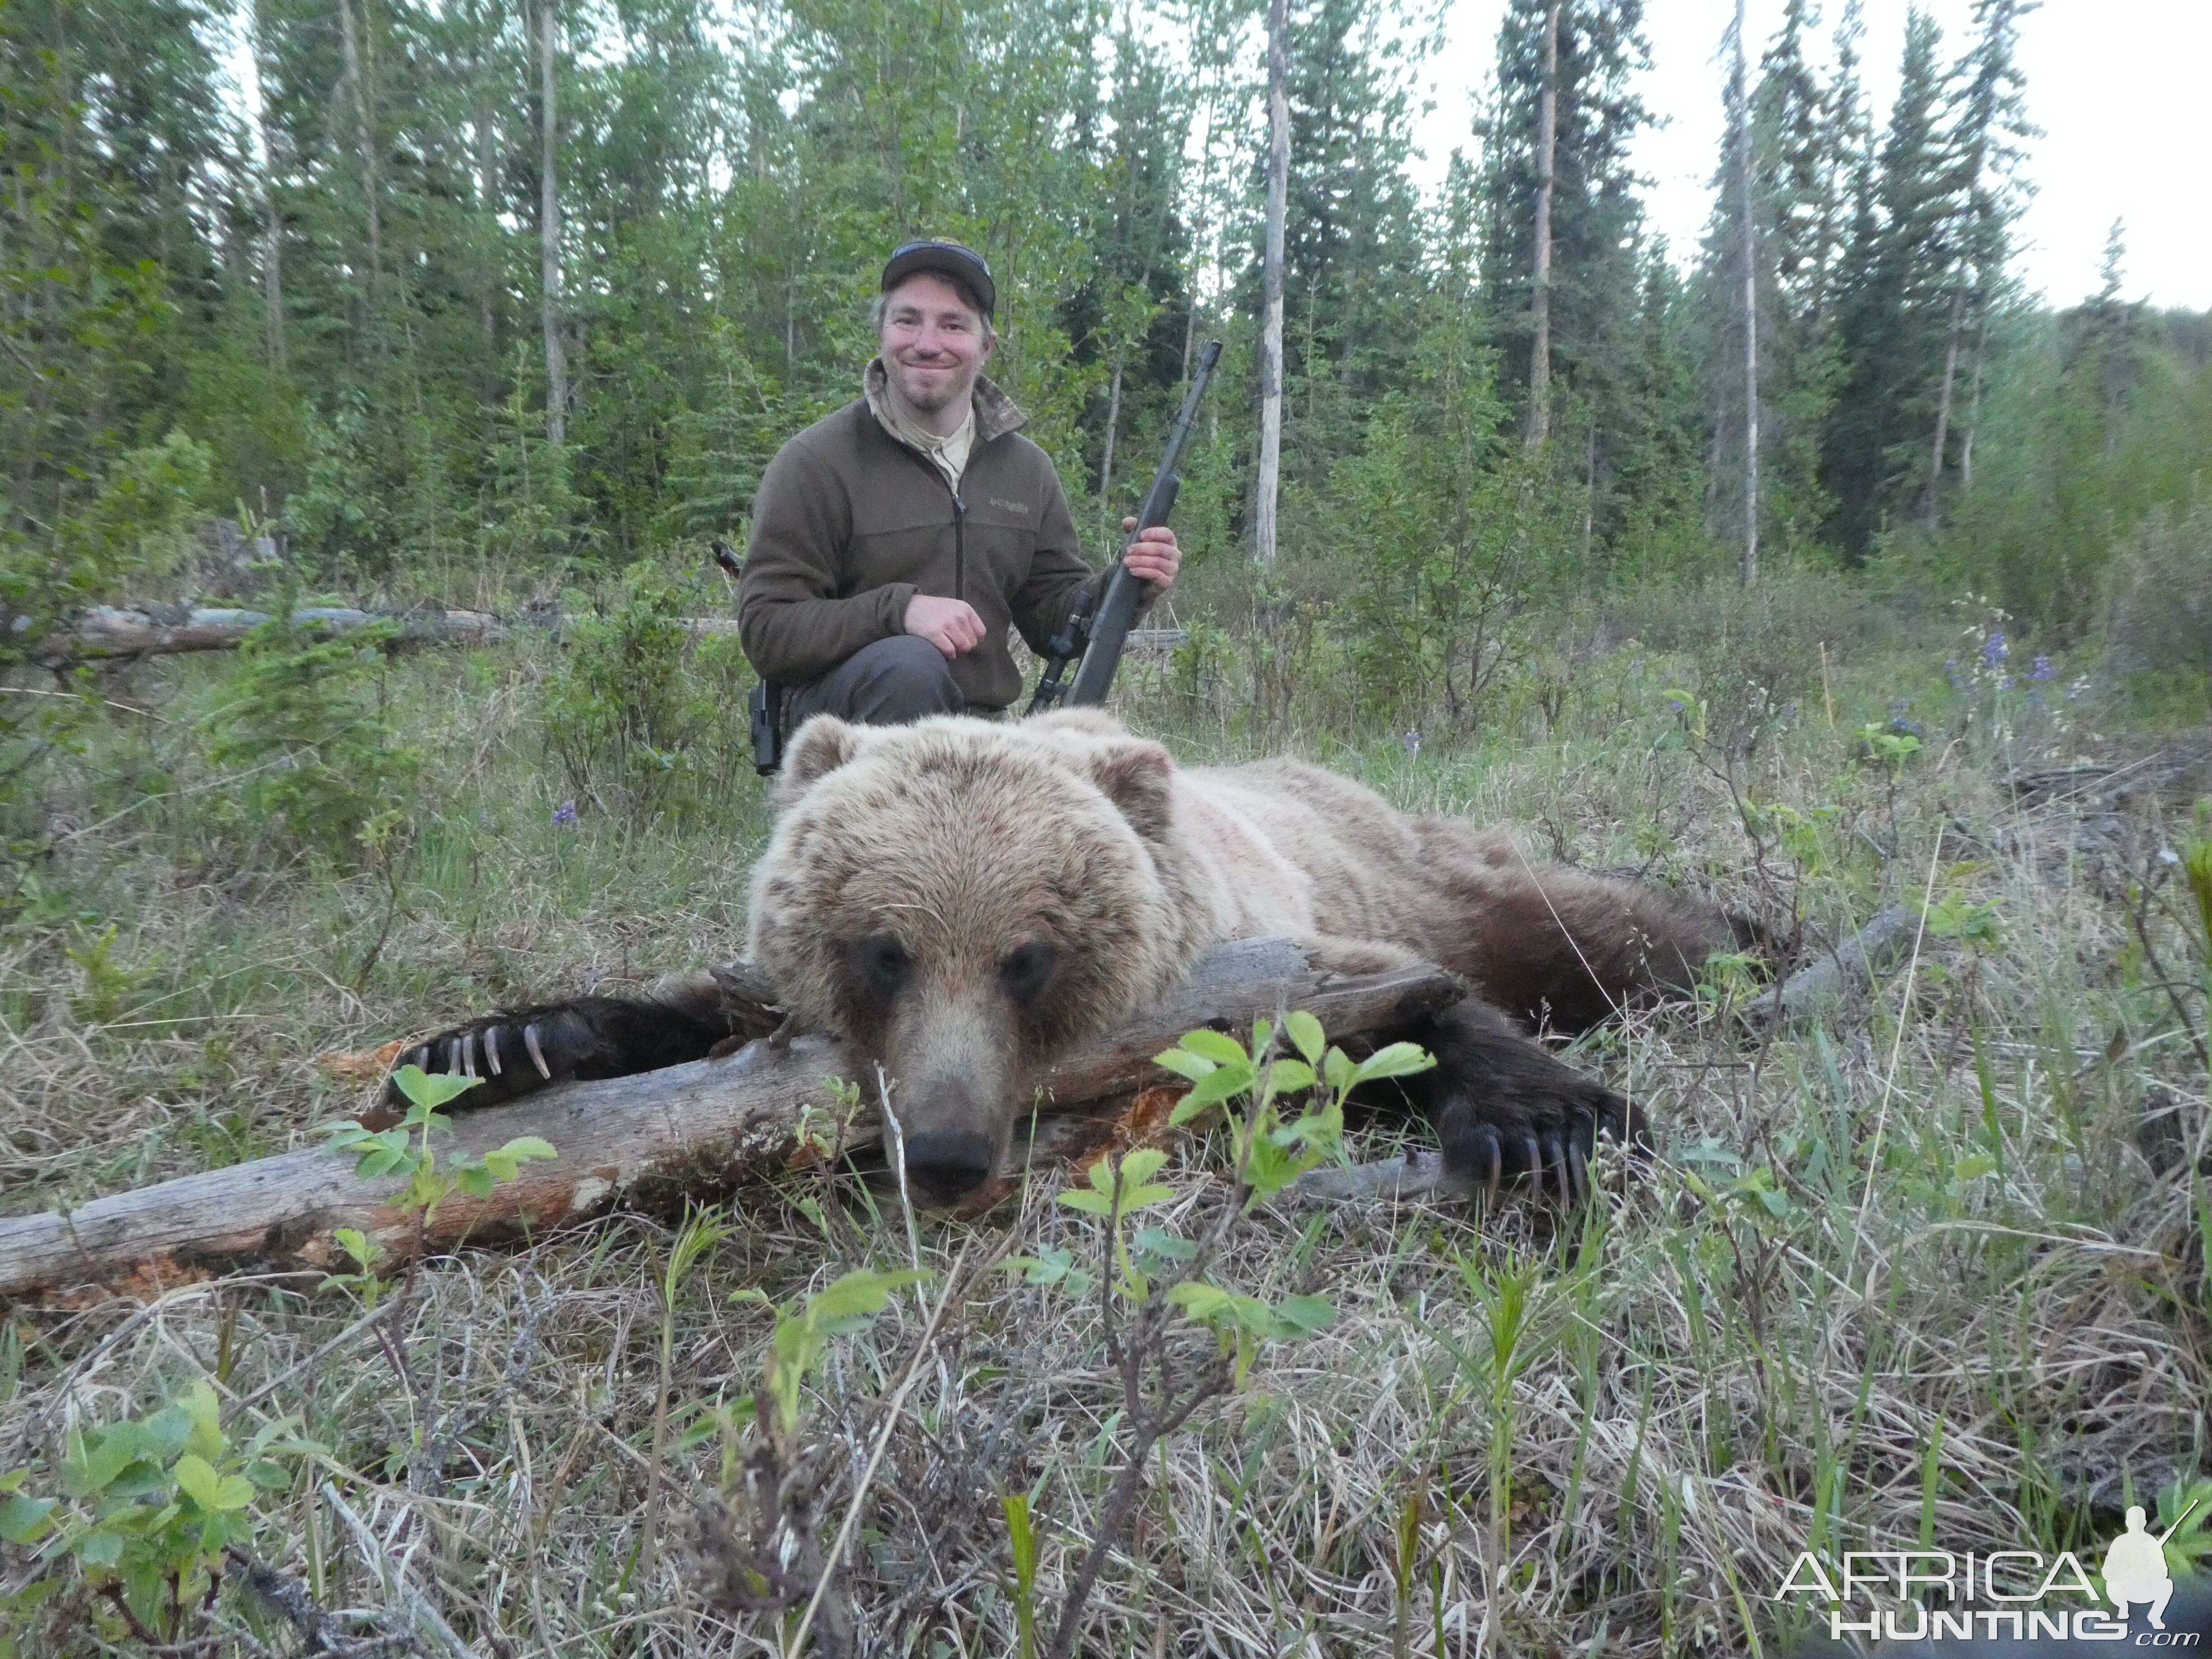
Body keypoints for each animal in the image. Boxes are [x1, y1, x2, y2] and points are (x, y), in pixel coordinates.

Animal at [403, 717, 1743, 1212]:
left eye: (1026, 960)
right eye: (883, 952)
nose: (946, 1154)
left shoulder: (1272, 945)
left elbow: (1394, 1000)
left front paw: (1542, 1124)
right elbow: (700, 1009)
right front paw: (499, 1042)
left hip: (1422, 864)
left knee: (1597, 928)